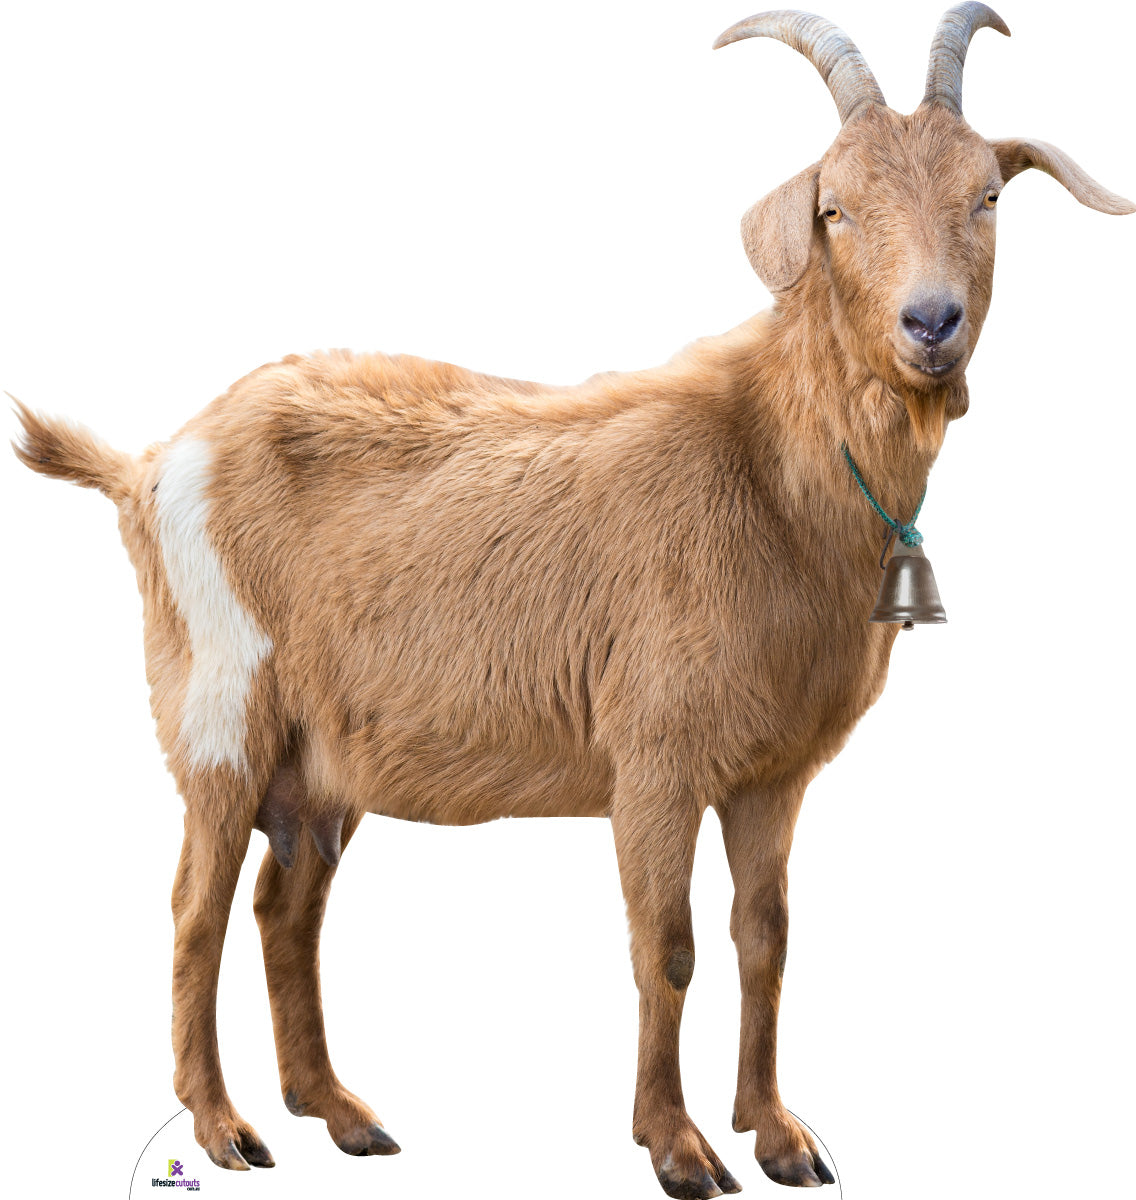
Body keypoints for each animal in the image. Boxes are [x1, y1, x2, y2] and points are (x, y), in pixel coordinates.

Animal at [11, 4, 1133, 1196]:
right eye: (833, 206)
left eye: (988, 195)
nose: (931, 322)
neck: (767, 467)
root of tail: (152, 464)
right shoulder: (654, 756)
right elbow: (667, 946)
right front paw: (678, 1148)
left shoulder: (771, 773)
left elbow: (766, 937)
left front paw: (780, 1136)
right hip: (220, 705)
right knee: (196, 906)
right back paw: (226, 1127)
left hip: (320, 757)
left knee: (286, 904)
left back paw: (342, 1114)